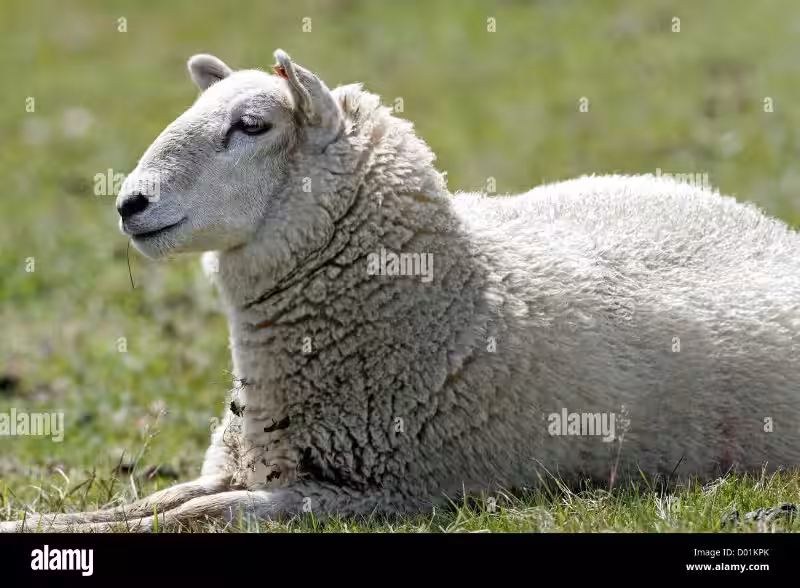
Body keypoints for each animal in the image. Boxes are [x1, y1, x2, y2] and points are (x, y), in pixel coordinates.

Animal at [3, 48, 800, 532]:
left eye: (251, 125)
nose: (129, 204)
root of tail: (767, 225)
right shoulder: (252, 467)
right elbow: (158, 499)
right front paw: (38, 522)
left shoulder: (376, 493)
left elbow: (191, 516)